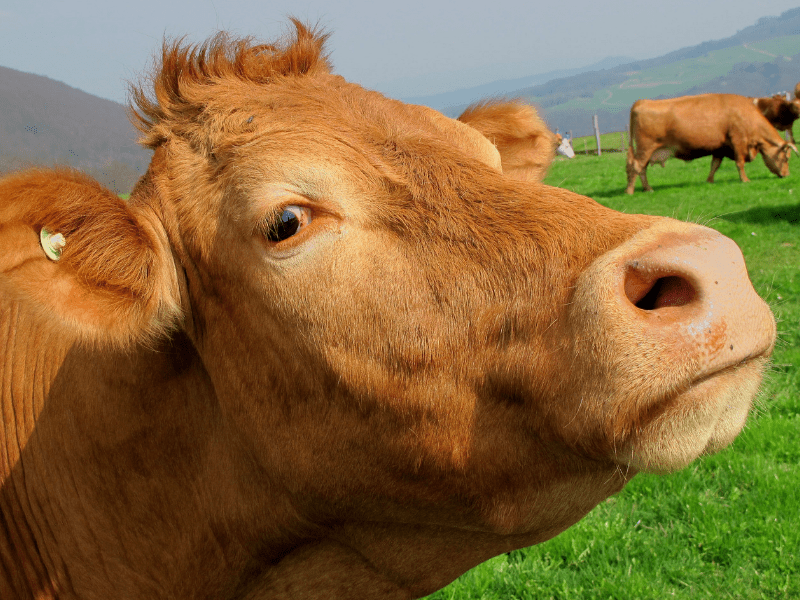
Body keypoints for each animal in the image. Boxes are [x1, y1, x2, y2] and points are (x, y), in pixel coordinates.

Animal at [628, 92, 796, 195]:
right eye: (786, 158)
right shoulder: (738, 141)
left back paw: (647, 188)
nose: (787, 175)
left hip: (647, 151)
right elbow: (740, 163)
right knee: (636, 167)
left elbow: (714, 165)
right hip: (645, 148)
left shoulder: (720, 148)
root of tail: (641, 102)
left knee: (640, 169)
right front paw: (745, 180)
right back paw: (630, 191)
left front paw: (709, 181)